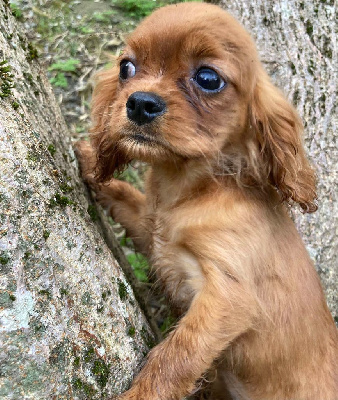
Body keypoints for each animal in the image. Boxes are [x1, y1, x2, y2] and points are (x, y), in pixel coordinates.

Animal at [75, 3, 336, 400]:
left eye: (208, 78)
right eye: (126, 67)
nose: (140, 103)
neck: (185, 190)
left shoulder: (227, 297)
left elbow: (175, 358)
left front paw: (142, 394)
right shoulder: (155, 238)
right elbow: (128, 199)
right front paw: (89, 159)